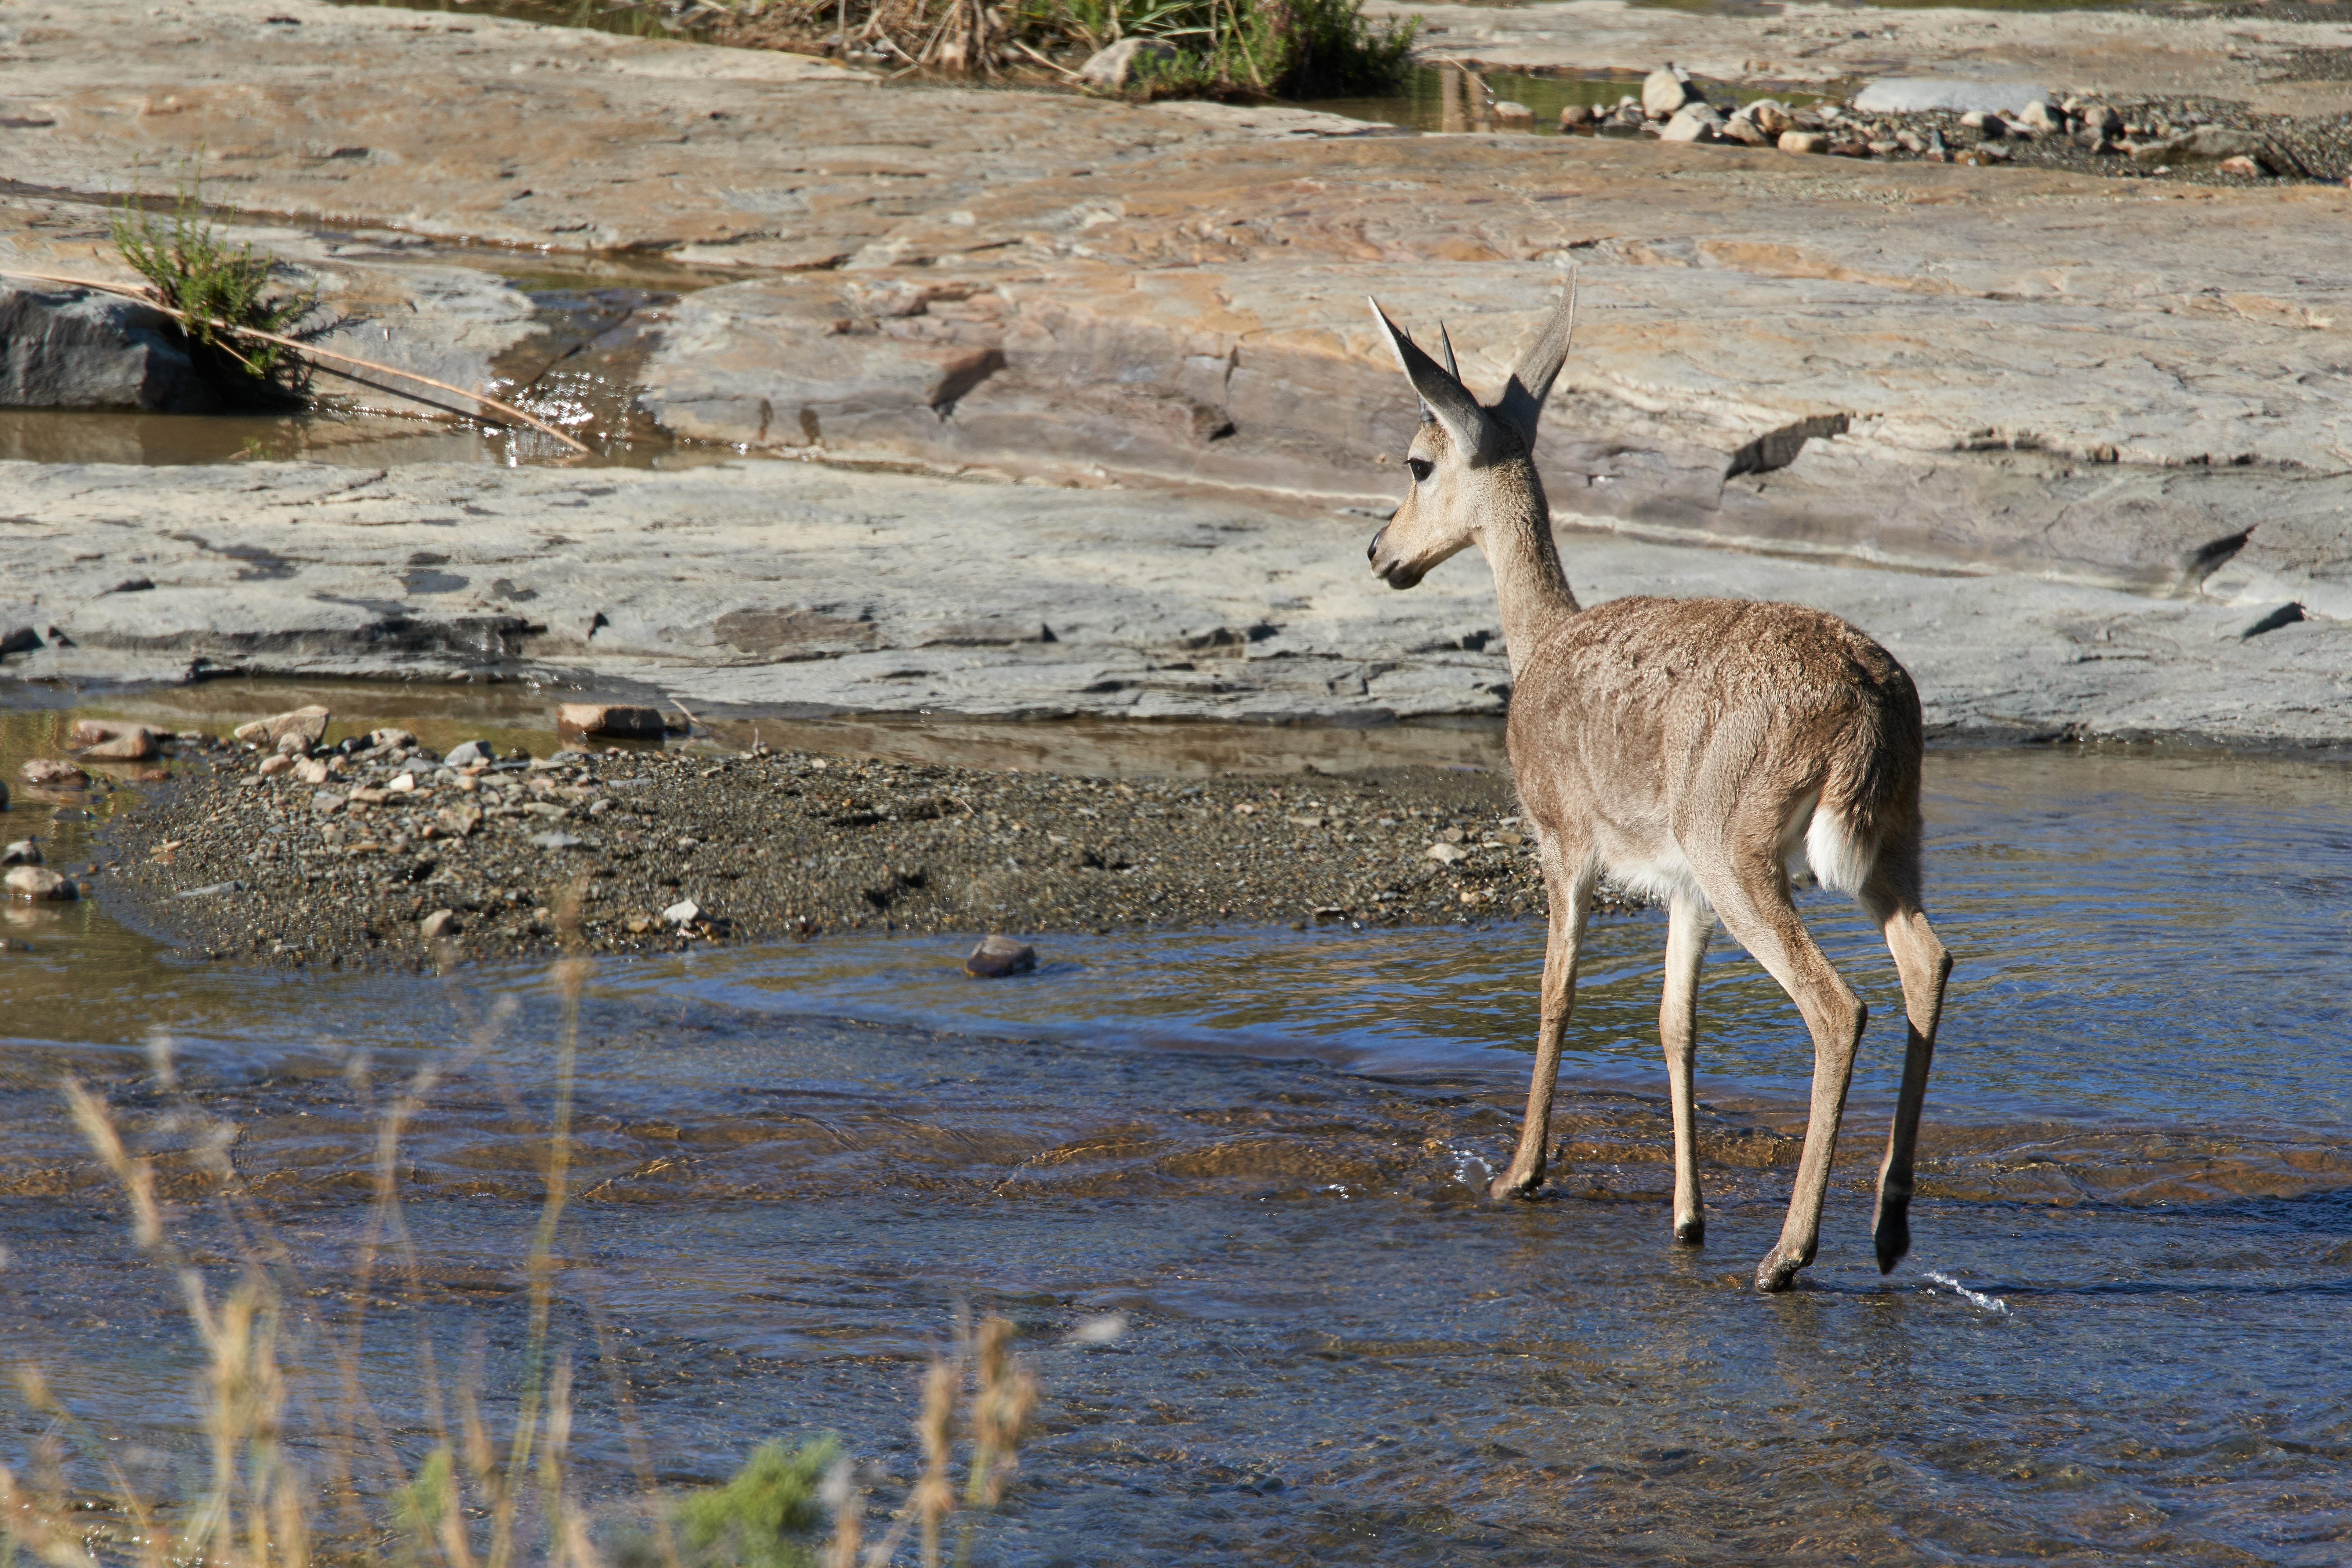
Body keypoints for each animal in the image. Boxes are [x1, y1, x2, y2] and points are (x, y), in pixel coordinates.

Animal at [1364, 288, 1947, 1298]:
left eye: (1417, 461)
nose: (1377, 550)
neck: (1539, 640)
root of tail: (1869, 701)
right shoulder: (1678, 887)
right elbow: (1677, 1023)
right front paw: (1686, 1215)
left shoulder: (1562, 834)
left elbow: (1556, 992)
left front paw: (1520, 1172)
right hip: (1889, 833)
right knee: (1929, 960)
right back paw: (1887, 1227)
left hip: (1737, 840)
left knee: (1839, 1004)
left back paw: (1790, 1250)